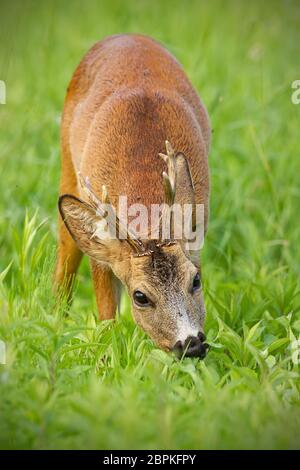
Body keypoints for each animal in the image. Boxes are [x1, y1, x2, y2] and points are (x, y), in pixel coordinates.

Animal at [55, 34, 211, 356]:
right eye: (140, 296)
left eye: (195, 280)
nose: (191, 344)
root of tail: (125, 36)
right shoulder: (103, 253)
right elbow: (106, 318)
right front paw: (105, 358)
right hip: (67, 167)